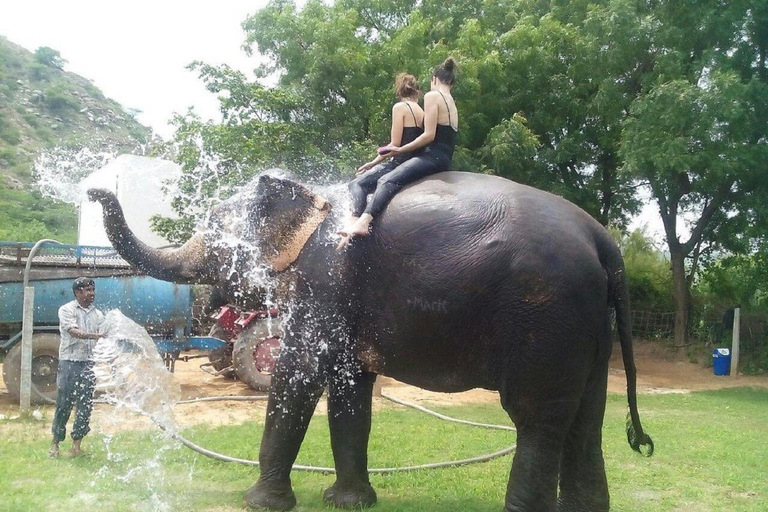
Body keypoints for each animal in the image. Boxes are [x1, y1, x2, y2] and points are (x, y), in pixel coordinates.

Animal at [88, 171, 653, 512]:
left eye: (217, 234)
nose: (95, 190)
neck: (311, 197)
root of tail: (603, 240)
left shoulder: (324, 280)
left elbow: (298, 374)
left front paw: (260, 503)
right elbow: (348, 388)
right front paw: (349, 501)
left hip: (547, 312)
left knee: (537, 418)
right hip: (588, 324)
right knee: (586, 421)